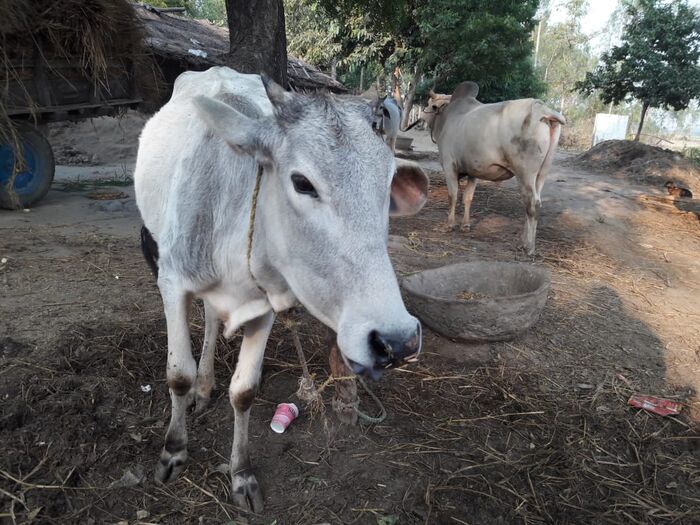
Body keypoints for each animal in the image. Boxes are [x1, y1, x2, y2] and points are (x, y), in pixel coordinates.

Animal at [133, 66, 429, 512]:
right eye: (302, 182)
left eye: (388, 180)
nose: (396, 341)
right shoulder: (171, 283)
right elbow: (177, 375)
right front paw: (174, 450)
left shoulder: (266, 304)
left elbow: (244, 391)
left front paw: (241, 475)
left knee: (212, 319)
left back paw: (207, 384)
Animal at [423, 81, 565, 255]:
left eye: (430, 104)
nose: (422, 115)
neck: (447, 118)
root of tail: (542, 109)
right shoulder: (473, 171)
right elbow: (468, 198)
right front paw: (465, 225)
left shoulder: (449, 166)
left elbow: (453, 196)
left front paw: (449, 225)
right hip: (542, 173)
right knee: (535, 203)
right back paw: (523, 242)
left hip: (525, 173)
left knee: (532, 204)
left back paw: (528, 246)